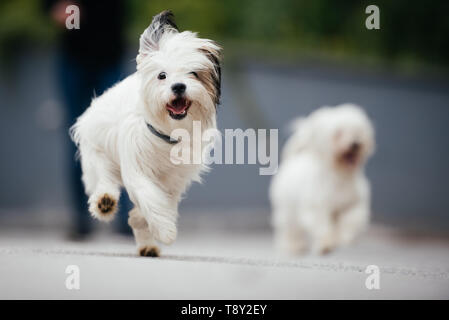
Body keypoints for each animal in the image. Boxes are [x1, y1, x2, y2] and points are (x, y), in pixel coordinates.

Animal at [70, 11, 220, 258]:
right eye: (162, 75)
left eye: (193, 74)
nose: (179, 86)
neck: (166, 134)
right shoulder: (136, 167)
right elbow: (148, 196)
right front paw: (166, 230)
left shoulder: (174, 180)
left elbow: (156, 204)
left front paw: (153, 227)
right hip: (98, 154)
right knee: (104, 178)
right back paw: (105, 202)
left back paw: (147, 245)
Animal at [270, 104, 374, 254]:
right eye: (338, 132)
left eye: (358, 131)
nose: (355, 143)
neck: (340, 175)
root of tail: (295, 158)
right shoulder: (317, 208)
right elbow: (323, 227)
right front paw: (326, 244)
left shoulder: (353, 205)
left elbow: (350, 221)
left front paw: (342, 237)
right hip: (288, 210)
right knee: (290, 230)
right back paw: (293, 246)